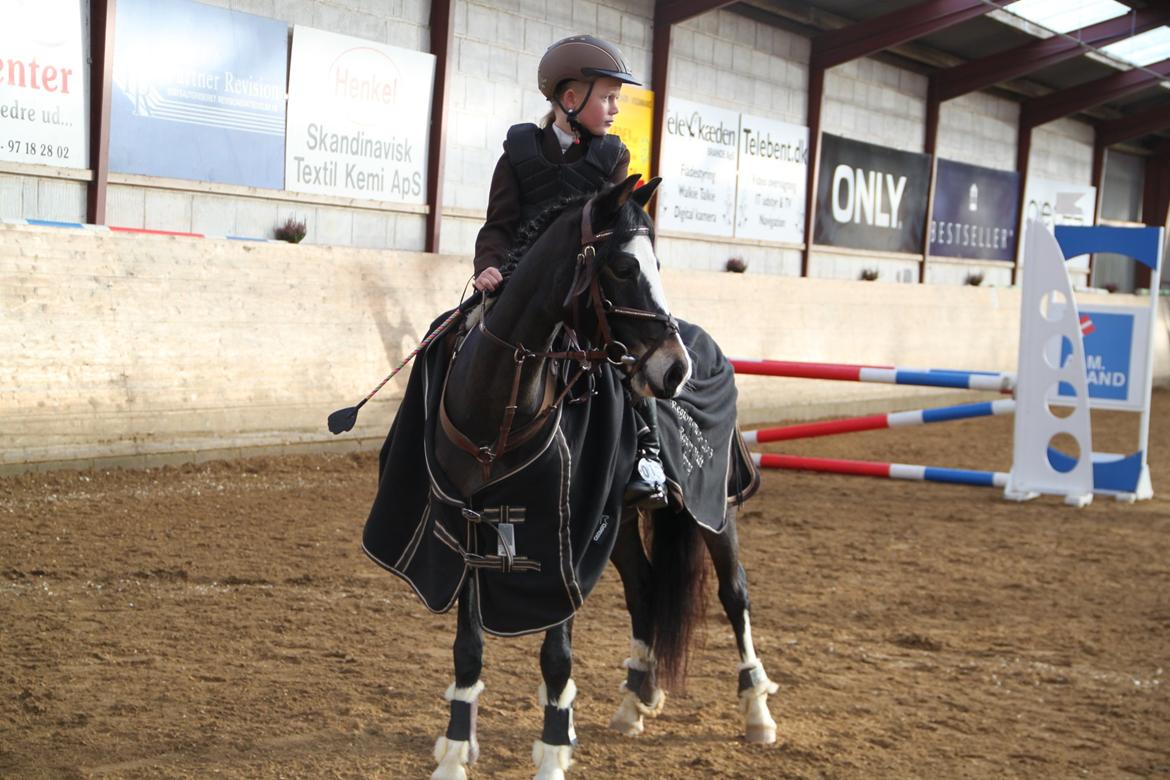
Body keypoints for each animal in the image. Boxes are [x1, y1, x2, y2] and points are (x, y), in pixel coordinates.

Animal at [361, 174, 779, 780]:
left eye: (656, 263)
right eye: (624, 267)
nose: (675, 369)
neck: (501, 404)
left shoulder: (564, 531)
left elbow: (556, 652)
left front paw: (553, 750)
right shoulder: (471, 523)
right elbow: (469, 647)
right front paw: (457, 750)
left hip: (713, 510)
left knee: (735, 593)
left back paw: (756, 711)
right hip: (623, 520)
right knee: (644, 588)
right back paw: (635, 699)